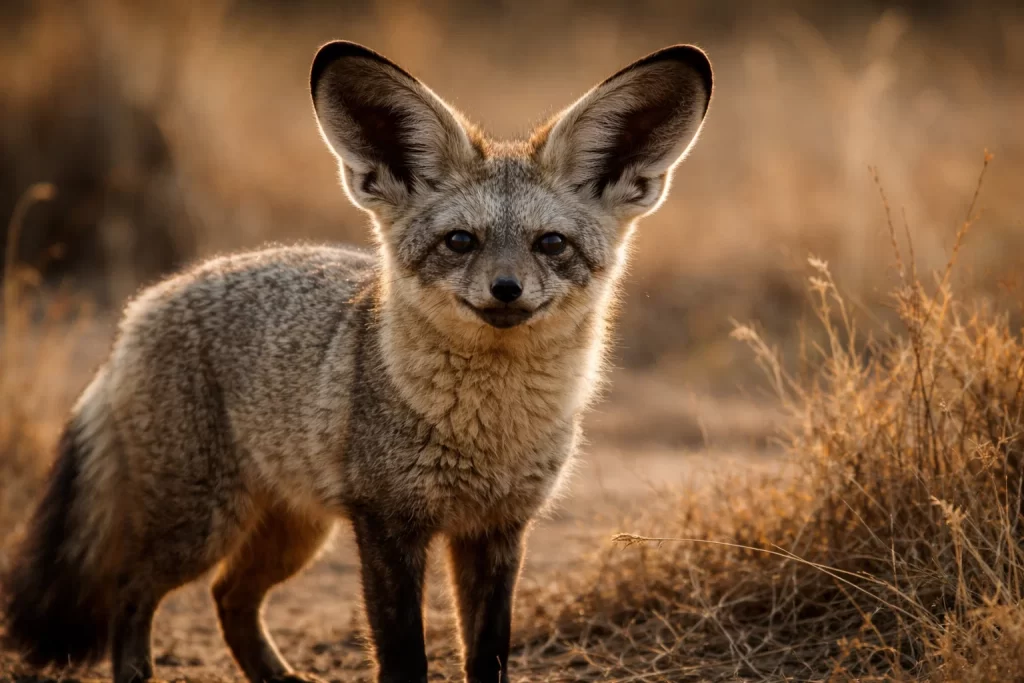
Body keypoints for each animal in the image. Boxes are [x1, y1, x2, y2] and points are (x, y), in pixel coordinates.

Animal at [1, 40, 712, 683]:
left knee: (229, 597)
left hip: (293, 534)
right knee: (130, 589)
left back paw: (279, 678)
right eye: (461, 241)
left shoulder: (497, 529)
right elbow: (403, 659)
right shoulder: (388, 525)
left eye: (551, 244)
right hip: (201, 527)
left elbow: (487, 655)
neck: (488, 431)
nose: (506, 289)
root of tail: (142, 305)